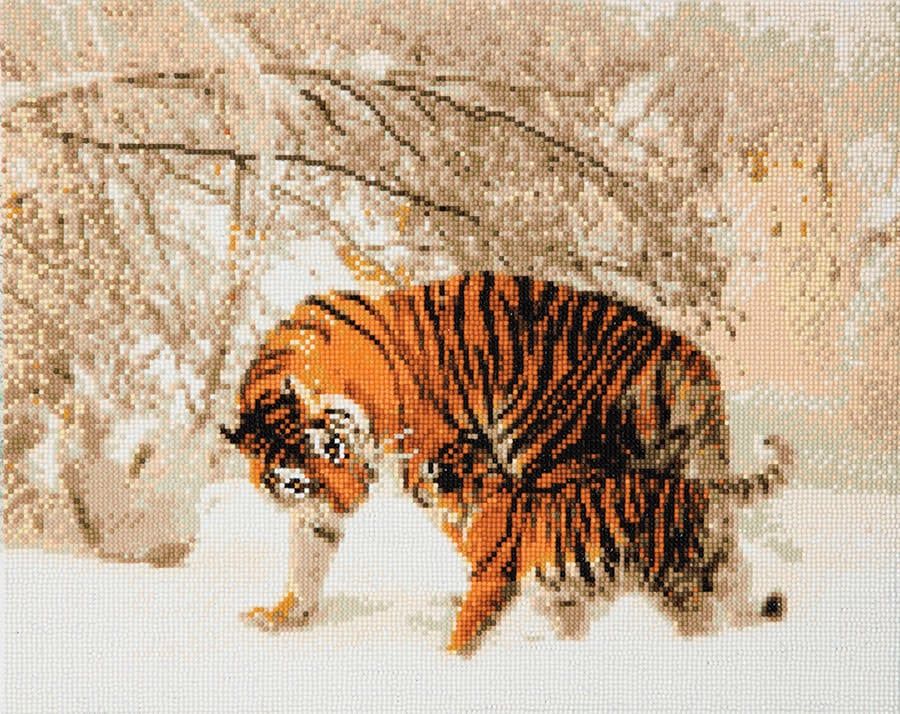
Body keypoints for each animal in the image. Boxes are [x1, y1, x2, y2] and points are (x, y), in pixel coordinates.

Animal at [221, 272, 791, 653]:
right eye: (296, 482)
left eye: (333, 449)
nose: (348, 502)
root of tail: (686, 358)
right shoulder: (316, 510)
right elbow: (307, 558)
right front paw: (285, 616)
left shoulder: (433, 455)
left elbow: (476, 526)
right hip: (681, 481)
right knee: (721, 560)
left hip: (562, 463)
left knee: (581, 551)